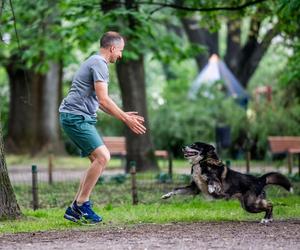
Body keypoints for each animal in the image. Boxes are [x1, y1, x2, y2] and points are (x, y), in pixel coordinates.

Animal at [162, 142, 292, 224]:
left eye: (195, 145)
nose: (183, 147)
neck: (202, 163)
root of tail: (259, 179)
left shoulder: (217, 181)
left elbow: (212, 180)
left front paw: (211, 188)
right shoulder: (194, 188)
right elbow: (176, 190)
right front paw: (166, 195)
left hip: (250, 204)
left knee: (270, 205)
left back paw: (266, 219)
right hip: (248, 204)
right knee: (269, 204)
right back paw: (269, 219)